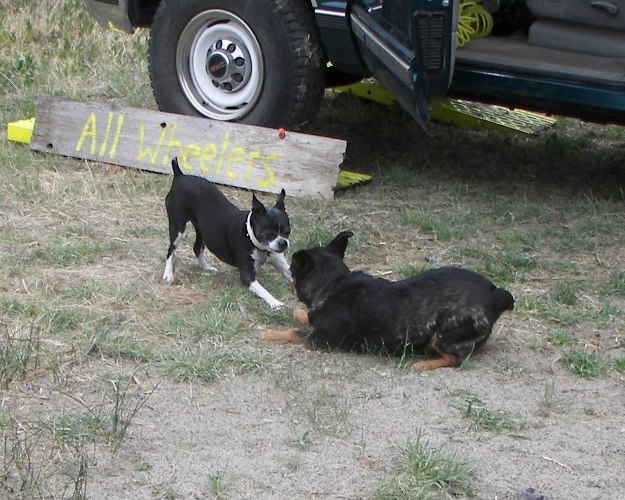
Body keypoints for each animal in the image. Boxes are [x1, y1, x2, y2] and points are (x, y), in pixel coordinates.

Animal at [162, 158, 292, 308]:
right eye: (268, 234)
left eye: (287, 232)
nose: (283, 243)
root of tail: (180, 175)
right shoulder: (247, 275)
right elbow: (263, 290)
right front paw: (275, 302)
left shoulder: (281, 263)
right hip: (177, 228)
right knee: (171, 250)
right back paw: (168, 274)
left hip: (202, 229)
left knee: (197, 248)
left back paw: (206, 267)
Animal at [260, 231, 516, 372]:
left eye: (292, 271)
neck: (334, 284)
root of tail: (496, 296)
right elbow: (303, 316)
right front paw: (297, 313)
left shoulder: (319, 341)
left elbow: (291, 332)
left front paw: (268, 333)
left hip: (443, 334)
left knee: (455, 359)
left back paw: (424, 364)